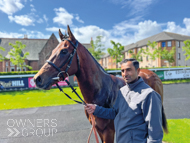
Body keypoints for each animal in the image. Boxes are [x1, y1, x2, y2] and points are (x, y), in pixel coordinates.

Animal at [33, 25, 168, 142]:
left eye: (64, 51)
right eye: (52, 51)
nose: (37, 78)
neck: (101, 91)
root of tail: (152, 74)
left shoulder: (109, 132)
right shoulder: (98, 130)